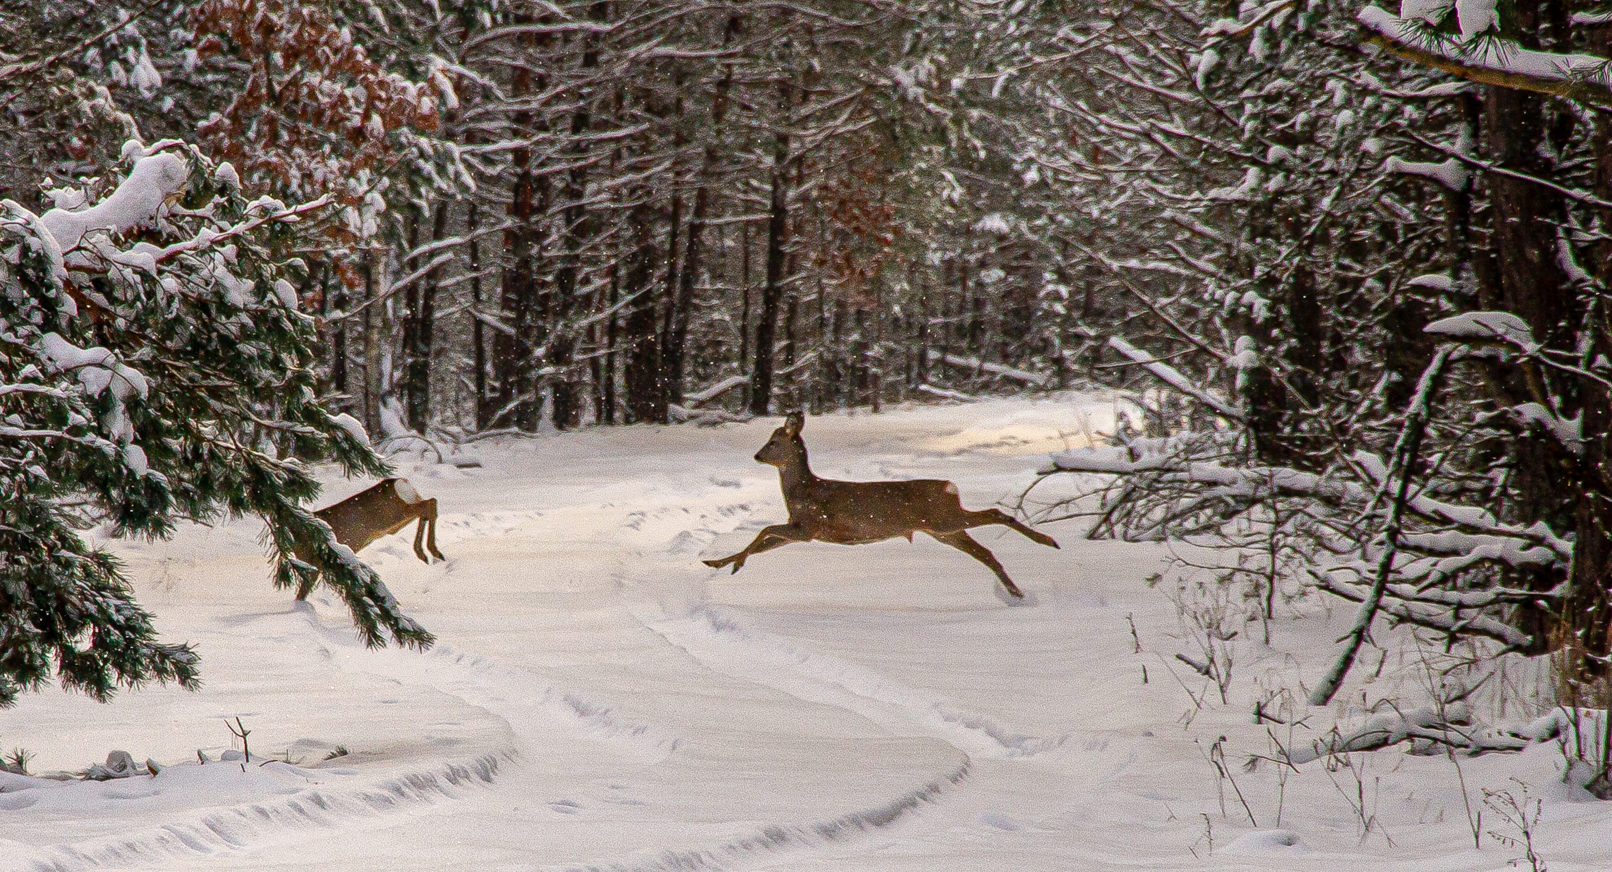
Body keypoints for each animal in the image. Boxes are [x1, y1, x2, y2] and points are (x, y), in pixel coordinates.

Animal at [293, 477, 444, 600]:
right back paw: (426, 553)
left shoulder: (313, 563)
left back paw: (432, 551)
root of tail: (399, 482)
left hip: (394, 515)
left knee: (428, 504)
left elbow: (302, 594)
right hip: (399, 520)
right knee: (428, 506)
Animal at [702, 412, 1058, 599]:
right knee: (985, 551)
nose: (757, 455)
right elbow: (762, 542)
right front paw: (716, 563)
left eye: (773, 442)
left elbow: (763, 530)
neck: (803, 491)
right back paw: (1016, 592)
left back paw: (1048, 541)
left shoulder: (810, 526)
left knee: (996, 513)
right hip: (944, 530)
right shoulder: (802, 529)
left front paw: (733, 565)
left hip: (944, 519)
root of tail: (949, 487)